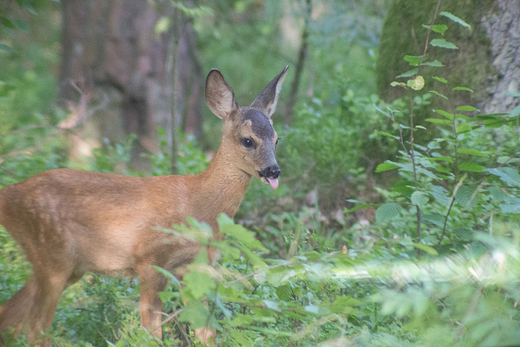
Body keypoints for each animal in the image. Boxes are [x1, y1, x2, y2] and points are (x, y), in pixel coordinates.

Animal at [0, 66, 288, 346]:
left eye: (276, 139)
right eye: (247, 140)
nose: (273, 171)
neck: (196, 205)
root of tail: (9, 193)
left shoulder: (195, 268)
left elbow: (206, 331)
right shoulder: (150, 259)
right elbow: (151, 332)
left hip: (65, 264)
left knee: (11, 316)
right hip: (53, 253)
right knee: (36, 327)